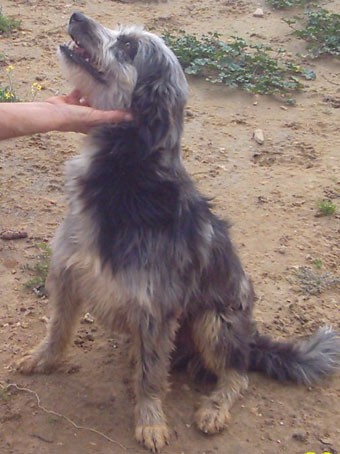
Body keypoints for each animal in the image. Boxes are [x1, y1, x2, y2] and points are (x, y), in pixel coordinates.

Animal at [18, 12, 340, 452]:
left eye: (129, 46)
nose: (77, 16)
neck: (126, 172)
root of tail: (251, 339)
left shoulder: (156, 307)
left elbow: (153, 376)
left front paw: (150, 421)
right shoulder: (68, 274)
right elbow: (57, 329)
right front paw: (41, 360)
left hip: (213, 322)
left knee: (237, 373)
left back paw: (214, 407)